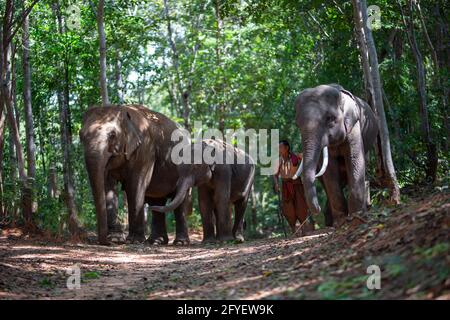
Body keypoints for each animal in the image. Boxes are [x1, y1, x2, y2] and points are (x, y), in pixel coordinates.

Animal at [80, 105, 191, 245]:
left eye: (112, 135)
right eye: (80, 136)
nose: (106, 242)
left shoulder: (145, 149)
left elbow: (135, 185)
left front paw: (134, 241)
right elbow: (107, 185)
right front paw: (116, 239)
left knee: (180, 201)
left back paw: (180, 243)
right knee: (157, 202)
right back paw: (156, 241)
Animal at [292, 84, 380, 226]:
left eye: (330, 118)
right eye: (298, 124)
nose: (317, 209)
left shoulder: (354, 126)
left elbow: (355, 160)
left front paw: (356, 216)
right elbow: (330, 170)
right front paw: (341, 221)